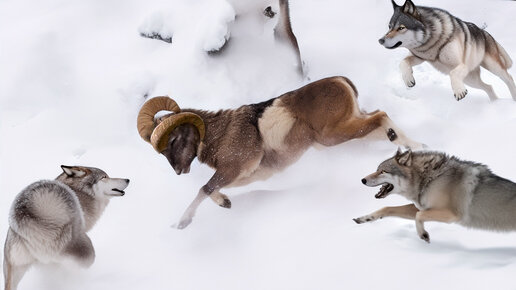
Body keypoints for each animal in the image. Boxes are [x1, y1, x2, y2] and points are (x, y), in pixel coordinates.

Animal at [137, 76, 424, 229]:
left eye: (174, 140)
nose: (178, 170)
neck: (224, 133)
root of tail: (340, 81)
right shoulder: (247, 176)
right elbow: (212, 190)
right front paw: (225, 203)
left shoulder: (232, 169)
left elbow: (203, 189)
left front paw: (182, 223)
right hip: (343, 130)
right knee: (379, 121)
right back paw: (416, 147)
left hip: (333, 135)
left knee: (381, 117)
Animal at [352, 150, 516, 242]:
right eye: (377, 169)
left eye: (383, 171)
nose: (363, 180)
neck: (429, 178)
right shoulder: (423, 207)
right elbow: (387, 208)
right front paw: (365, 218)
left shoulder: (451, 215)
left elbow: (418, 216)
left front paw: (423, 234)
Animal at [378, 0, 516, 101]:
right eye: (389, 27)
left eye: (401, 28)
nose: (380, 40)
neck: (431, 41)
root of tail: (484, 32)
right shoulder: (419, 57)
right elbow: (402, 62)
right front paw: (408, 79)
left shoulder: (461, 65)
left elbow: (453, 73)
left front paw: (459, 92)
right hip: (470, 80)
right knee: (489, 87)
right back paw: (494, 103)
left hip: (492, 68)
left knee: (509, 78)